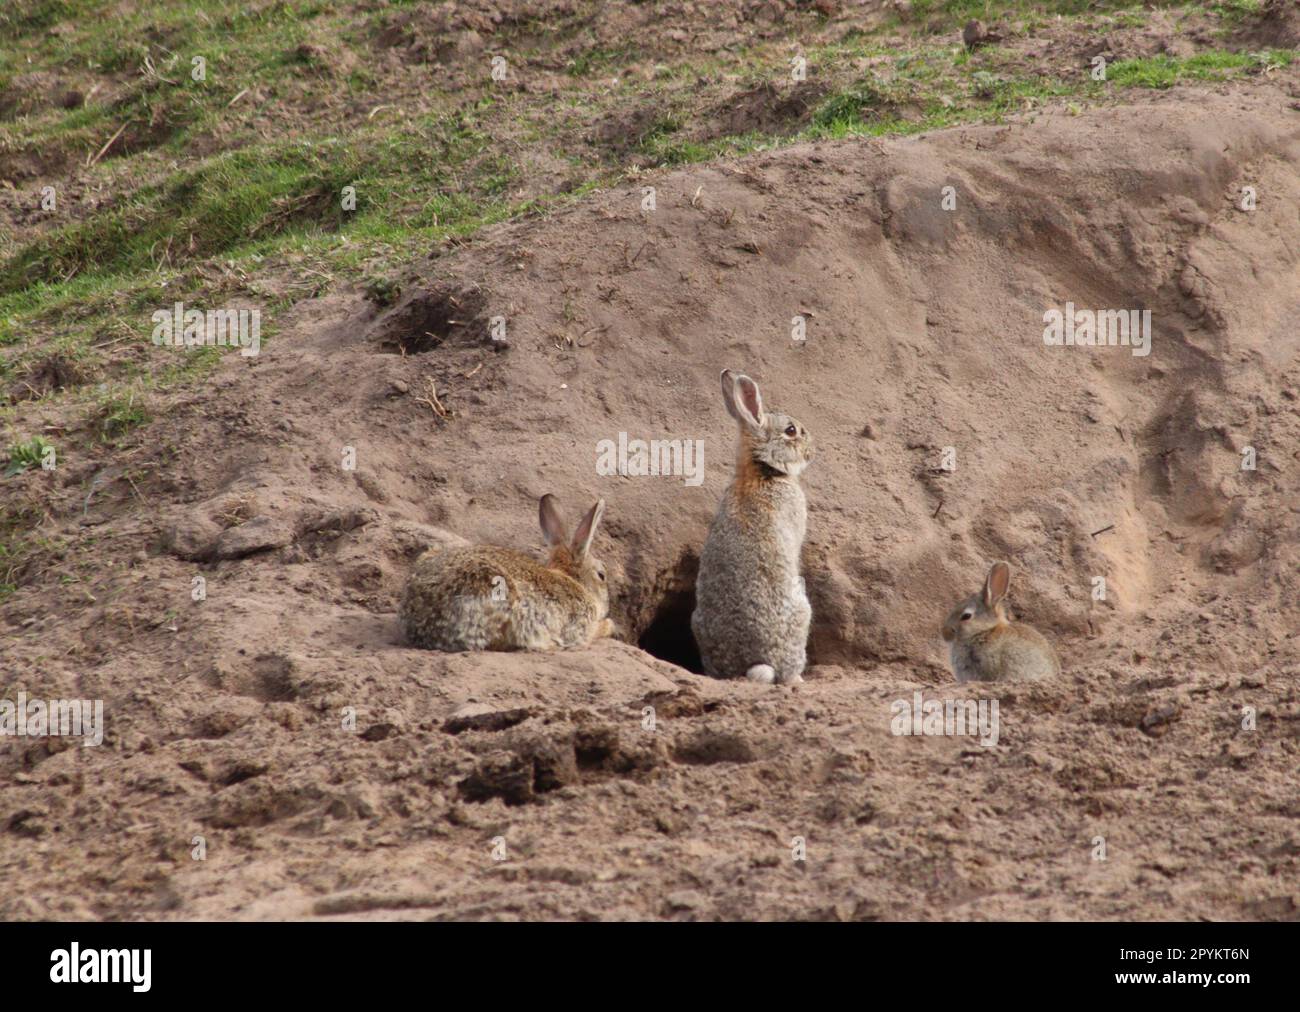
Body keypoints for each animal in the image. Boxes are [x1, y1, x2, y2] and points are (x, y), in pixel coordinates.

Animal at [400, 494, 614, 652]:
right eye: (601, 575)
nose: (607, 606)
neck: (571, 579)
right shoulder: (578, 627)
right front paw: (609, 624)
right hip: (496, 591)